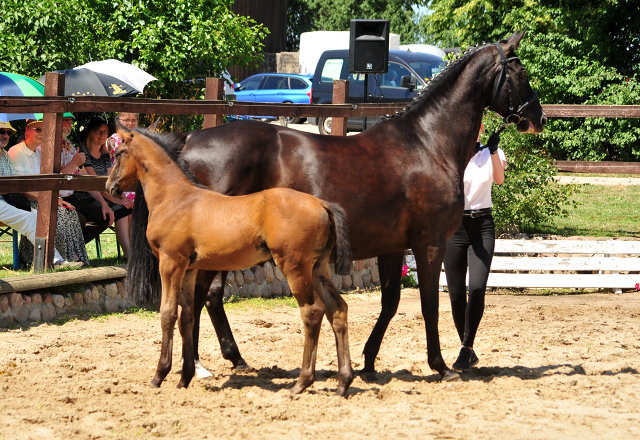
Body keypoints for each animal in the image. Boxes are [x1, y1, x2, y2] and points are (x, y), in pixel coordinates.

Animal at [105, 124, 356, 396]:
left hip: (294, 266)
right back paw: (343, 382)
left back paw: (302, 382)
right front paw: (185, 378)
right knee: (338, 309)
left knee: (312, 312)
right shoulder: (189, 268)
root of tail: (323, 204)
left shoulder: (170, 263)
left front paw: (159, 375)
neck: (175, 196)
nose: (109, 186)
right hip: (318, 268)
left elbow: (168, 314)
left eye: (117, 153)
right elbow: (187, 316)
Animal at [129, 31, 544, 382]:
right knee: (198, 298)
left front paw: (369, 361)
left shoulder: (393, 247)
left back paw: (230, 359)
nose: (537, 118)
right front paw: (440, 365)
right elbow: (428, 304)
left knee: (208, 298)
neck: (427, 143)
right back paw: (197, 367)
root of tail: (190, 140)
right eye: (521, 72)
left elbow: (391, 302)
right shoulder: (429, 243)